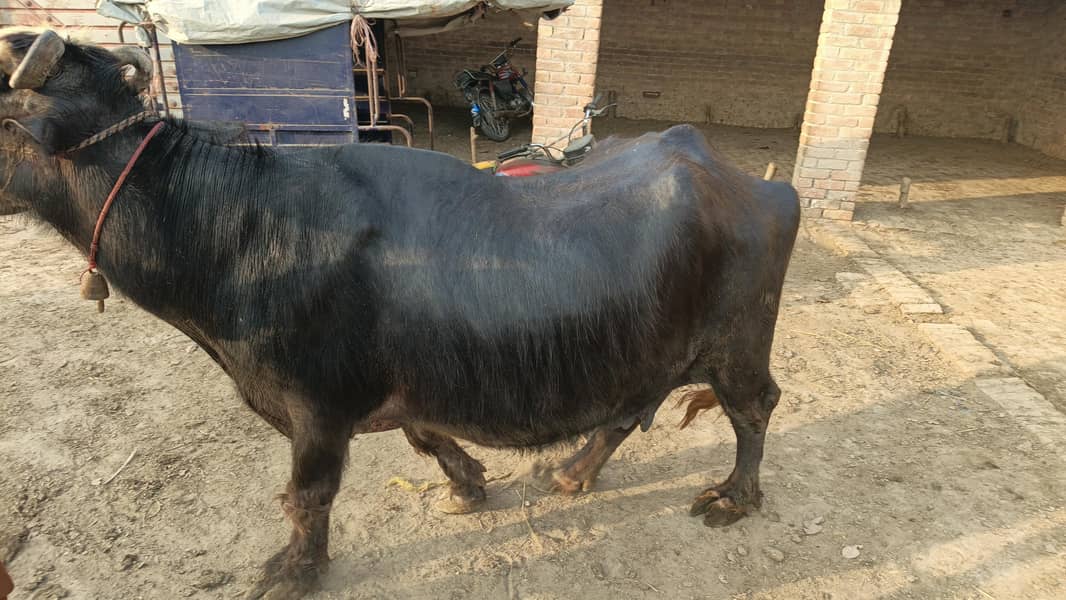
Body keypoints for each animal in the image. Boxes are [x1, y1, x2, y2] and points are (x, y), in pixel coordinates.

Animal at [0, 30, 800, 598]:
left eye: (4, 117)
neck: (241, 231)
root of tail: (757, 185)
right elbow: (424, 436)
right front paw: (469, 484)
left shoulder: (317, 407)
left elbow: (309, 495)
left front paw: (293, 571)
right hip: (653, 344)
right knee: (632, 408)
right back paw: (572, 474)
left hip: (739, 343)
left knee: (755, 407)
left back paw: (733, 497)